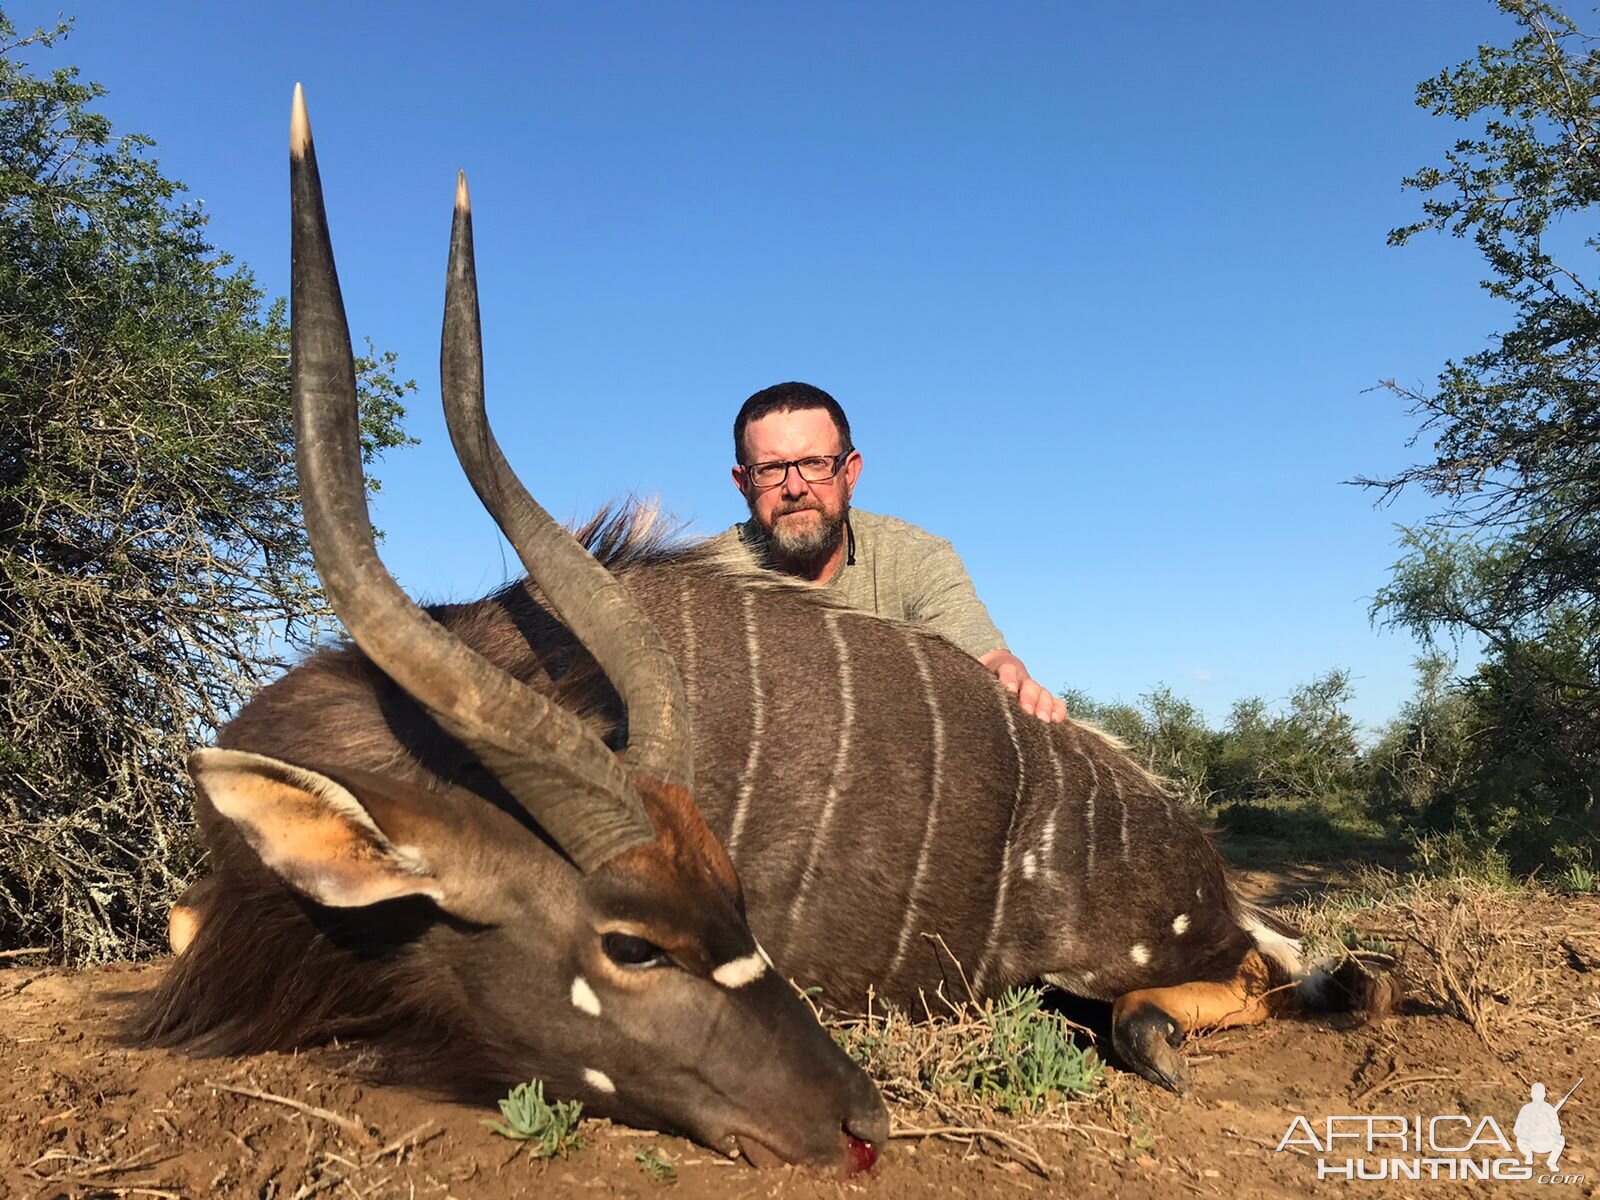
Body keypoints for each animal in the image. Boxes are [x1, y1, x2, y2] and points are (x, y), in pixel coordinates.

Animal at [137, 91, 1388, 1177]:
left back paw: (1166, 1035)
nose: (857, 1123)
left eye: (727, 910)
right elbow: (175, 923)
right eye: (632, 944)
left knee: (1247, 984)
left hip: (1127, 952)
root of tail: (1194, 852)